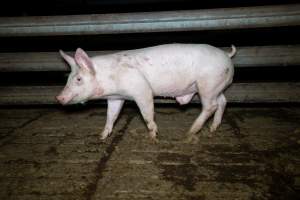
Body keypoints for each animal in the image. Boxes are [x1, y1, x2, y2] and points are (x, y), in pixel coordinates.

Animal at [55, 43, 234, 141]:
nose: (58, 97)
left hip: (207, 83)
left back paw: (190, 132)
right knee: (222, 102)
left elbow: (147, 113)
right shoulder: (116, 98)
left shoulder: (141, 89)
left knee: (210, 106)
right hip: (217, 85)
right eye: (68, 78)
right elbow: (111, 115)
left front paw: (153, 136)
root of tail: (226, 55)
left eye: (78, 79)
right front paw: (102, 136)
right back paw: (212, 129)